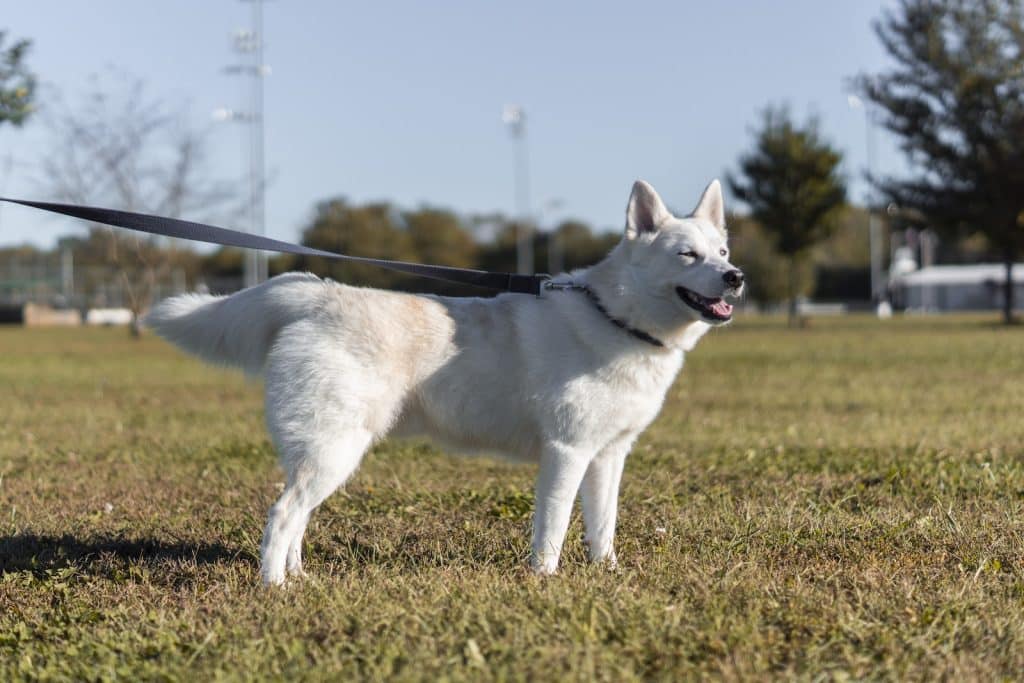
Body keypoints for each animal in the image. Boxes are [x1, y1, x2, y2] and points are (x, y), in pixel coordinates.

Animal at [148, 179, 745, 585]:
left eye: (721, 252)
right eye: (686, 255)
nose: (736, 276)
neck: (615, 319)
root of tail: (316, 293)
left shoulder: (608, 457)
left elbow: (604, 526)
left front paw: (608, 574)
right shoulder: (567, 452)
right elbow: (552, 531)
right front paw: (545, 582)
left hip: (324, 454)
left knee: (296, 519)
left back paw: (298, 578)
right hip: (335, 451)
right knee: (280, 516)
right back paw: (275, 589)